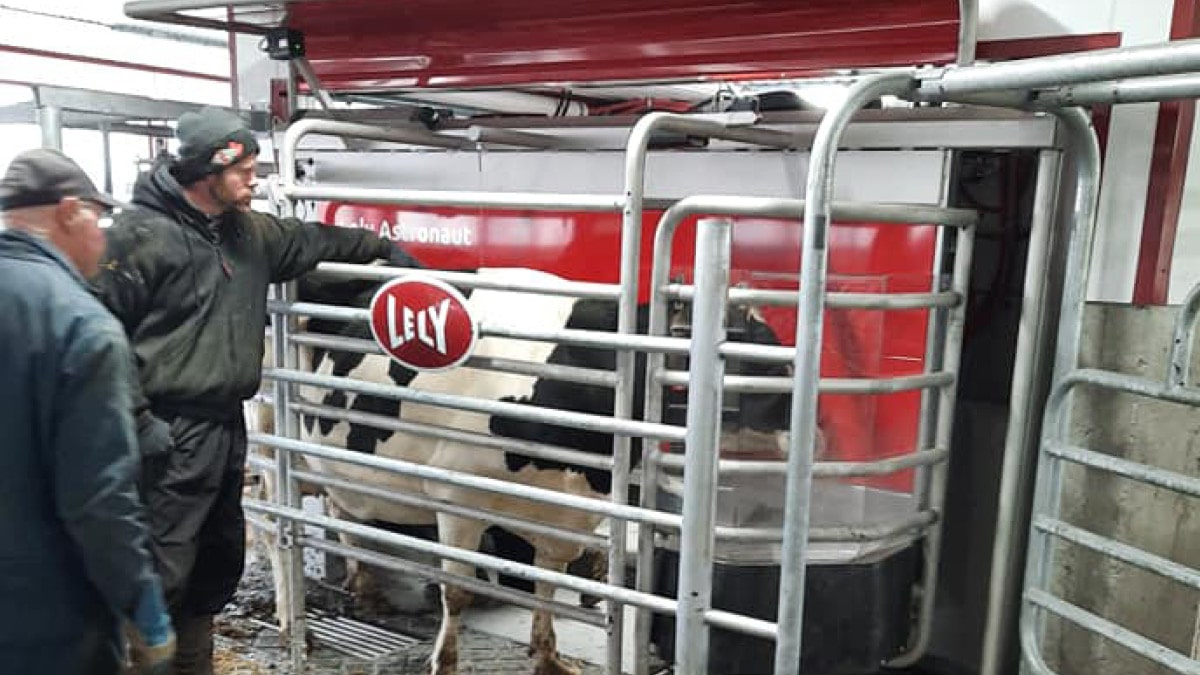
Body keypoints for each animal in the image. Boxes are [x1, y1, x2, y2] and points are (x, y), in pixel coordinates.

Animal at [276, 265, 792, 672]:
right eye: (762, 364)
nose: (805, 431)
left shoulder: (563, 511)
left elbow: (547, 584)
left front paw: (547, 657)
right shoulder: (456, 496)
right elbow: (457, 591)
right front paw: (445, 663)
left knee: (340, 509)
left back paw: (363, 586)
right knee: (273, 528)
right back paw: (293, 625)